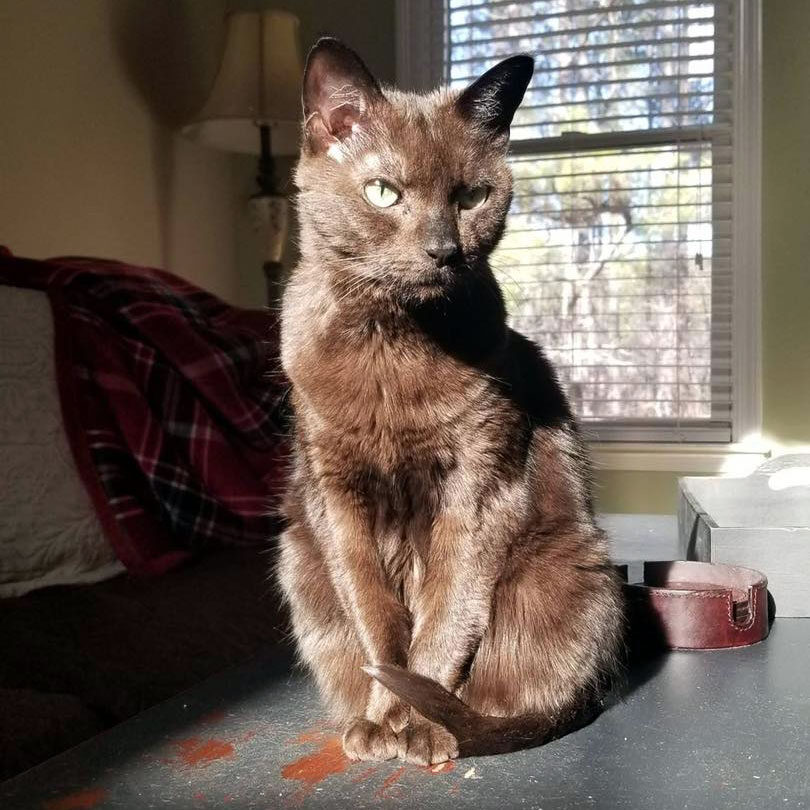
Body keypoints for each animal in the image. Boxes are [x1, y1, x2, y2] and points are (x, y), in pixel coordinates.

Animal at [274, 38, 620, 764]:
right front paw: (381, 722)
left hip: (571, 569)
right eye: (383, 191)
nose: (443, 250)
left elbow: (445, 613)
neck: (393, 344)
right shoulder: (335, 487)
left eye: (472, 195)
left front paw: (422, 726)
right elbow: (374, 614)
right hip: (298, 559)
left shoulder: (480, 482)